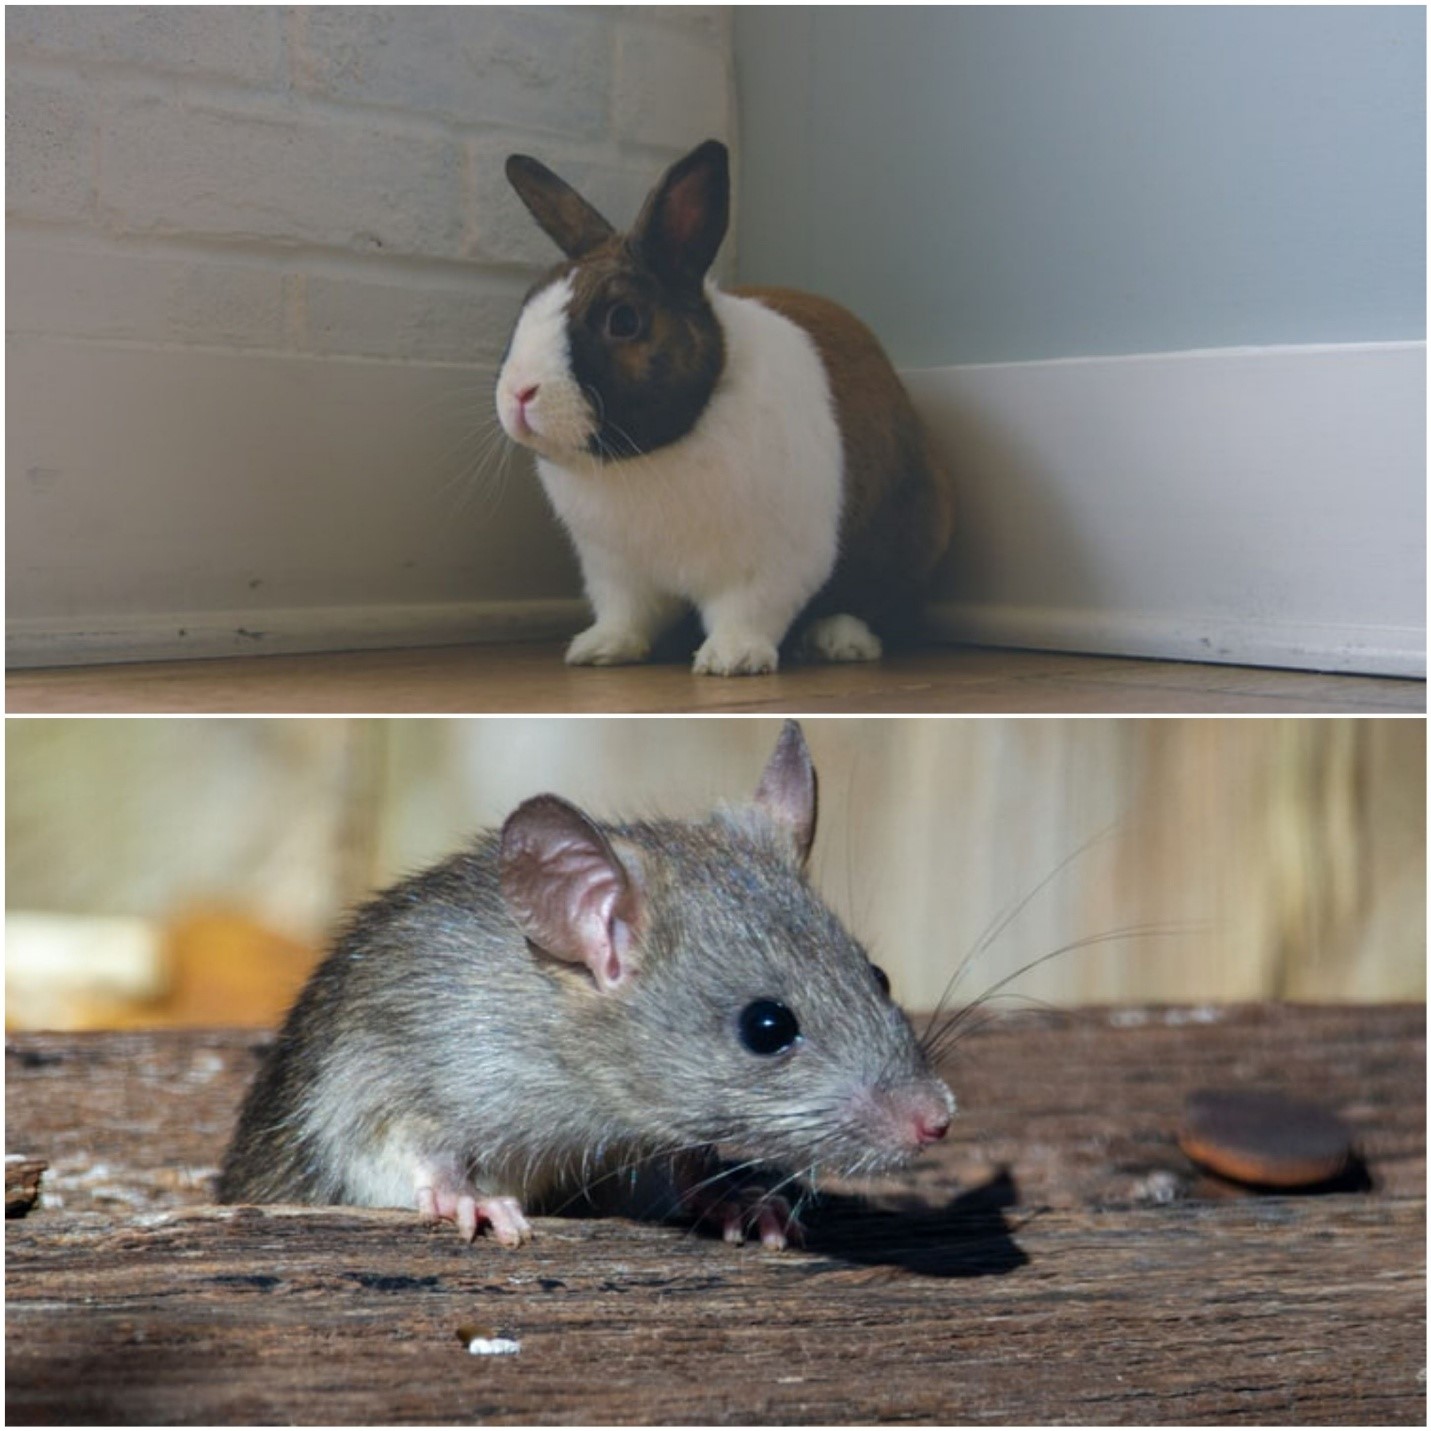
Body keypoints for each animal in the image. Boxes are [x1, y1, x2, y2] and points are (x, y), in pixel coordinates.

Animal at [495, 139, 955, 677]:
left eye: (624, 320)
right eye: (526, 307)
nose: (520, 393)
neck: (647, 456)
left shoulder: (773, 562)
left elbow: (747, 610)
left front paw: (731, 659)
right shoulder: (615, 570)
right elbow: (626, 614)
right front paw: (600, 648)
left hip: (905, 544)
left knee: (871, 605)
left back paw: (838, 642)